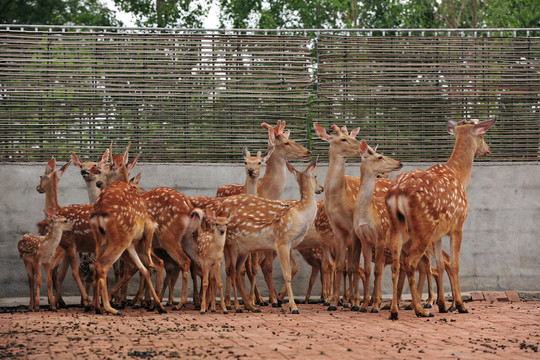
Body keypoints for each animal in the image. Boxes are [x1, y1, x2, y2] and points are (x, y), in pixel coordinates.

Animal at [352, 139, 402, 314]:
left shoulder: (380, 235)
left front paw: (374, 305)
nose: (399, 163)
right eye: (379, 157)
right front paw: (364, 305)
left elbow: (378, 270)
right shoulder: (364, 239)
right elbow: (368, 270)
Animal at [386, 119, 496, 320]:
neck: (460, 176)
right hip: (423, 227)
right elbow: (454, 264)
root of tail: (398, 191)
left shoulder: (438, 235)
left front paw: (443, 305)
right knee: (411, 263)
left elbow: (440, 264)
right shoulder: (458, 225)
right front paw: (460, 305)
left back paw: (395, 311)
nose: (488, 149)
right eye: (482, 135)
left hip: (396, 227)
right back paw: (420, 309)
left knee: (397, 265)